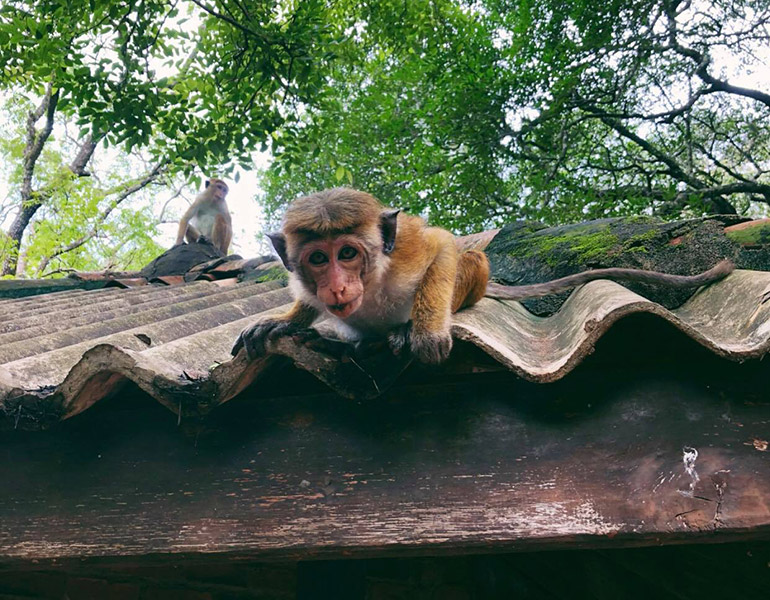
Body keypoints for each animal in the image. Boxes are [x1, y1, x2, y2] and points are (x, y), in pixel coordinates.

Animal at [231, 188, 736, 366]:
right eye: (318, 258)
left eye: (349, 253)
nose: (336, 285)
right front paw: (283, 322)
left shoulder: (408, 251)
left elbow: (443, 247)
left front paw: (425, 330)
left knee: (469, 258)